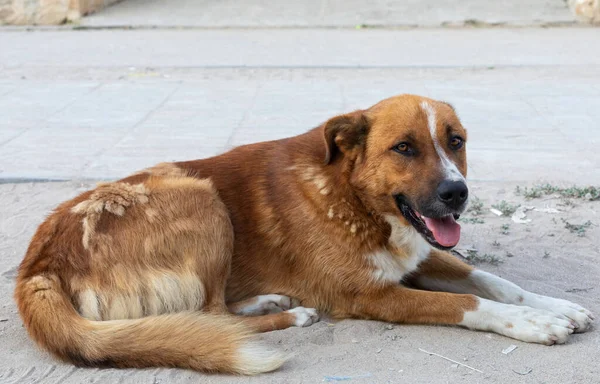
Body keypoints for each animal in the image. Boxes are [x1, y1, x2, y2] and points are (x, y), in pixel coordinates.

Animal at [16, 95, 592, 376]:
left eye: (456, 141)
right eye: (404, 148)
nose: (458, 193)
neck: (351, 197)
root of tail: (37, 266)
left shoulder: (417, 254)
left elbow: (493, 281)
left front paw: (555, 305)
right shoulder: (367, 295)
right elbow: (468, 302)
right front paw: (532, 323)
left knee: (210, 311)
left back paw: (268, 300)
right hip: (200, 197)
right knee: (208, 316)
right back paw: (285, 314)